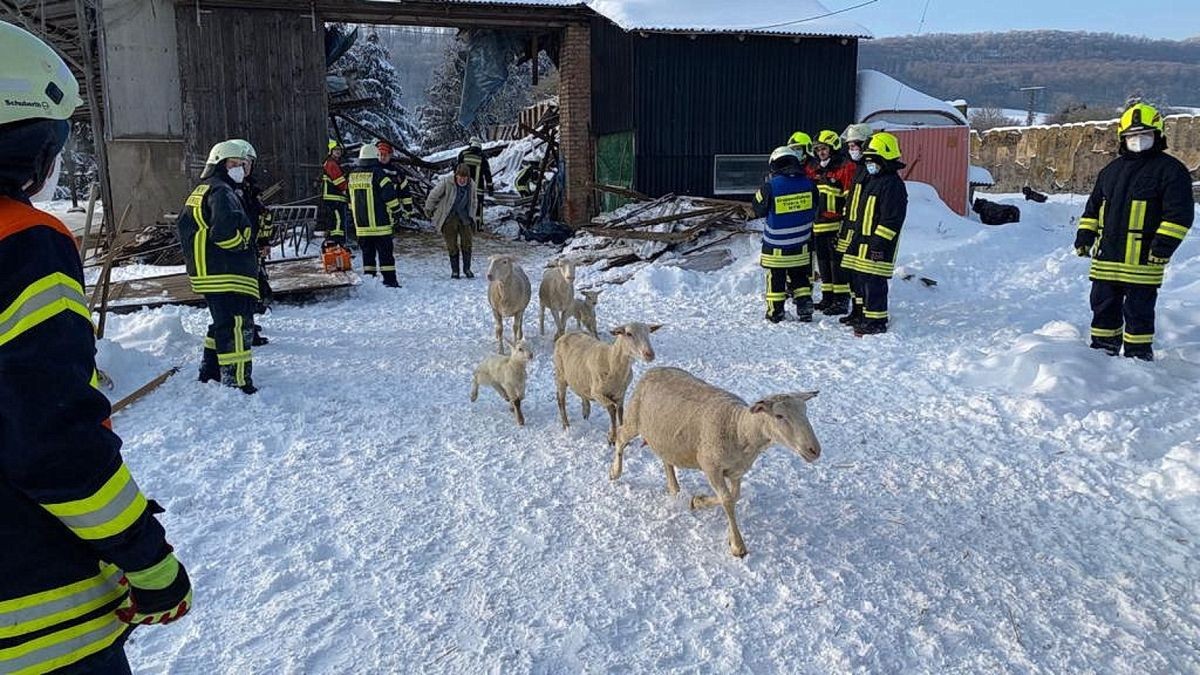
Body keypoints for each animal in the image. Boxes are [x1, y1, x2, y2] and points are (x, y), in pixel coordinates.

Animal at [609, 365, 825, 554]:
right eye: (779, 416)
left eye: (805, 412)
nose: (814, 450)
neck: (739, 428)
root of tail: (654, 369)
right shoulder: (710, 466)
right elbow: (727, 499)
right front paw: (737, 545)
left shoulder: (737, 472)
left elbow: (734, 496)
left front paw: (698, 501)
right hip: (634, 419)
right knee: (621, 437)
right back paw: (614, 472)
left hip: (664, 435)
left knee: (665, 459)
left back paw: (674, 487)